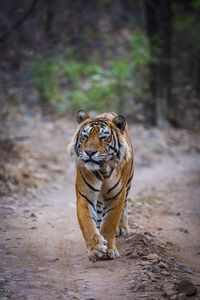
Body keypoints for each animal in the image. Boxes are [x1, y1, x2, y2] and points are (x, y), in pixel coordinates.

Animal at [68, 110, 134, 262]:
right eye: (85, 136)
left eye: (104, 138)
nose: (90, 152)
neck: (103, 169)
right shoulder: (85, 196)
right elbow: (87, 224)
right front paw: (96, 248)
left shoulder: (117, 196)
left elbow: (110, 222)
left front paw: (109, 250)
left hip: (128, 185)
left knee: (124, 206)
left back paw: (122, 228)